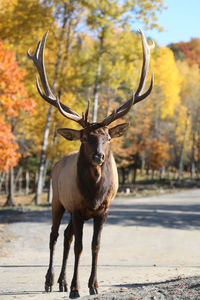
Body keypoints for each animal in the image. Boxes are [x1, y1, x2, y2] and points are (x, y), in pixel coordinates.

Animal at [27, 29, 154, 298]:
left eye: (108, 138)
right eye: (85, 137)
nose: (99, 156)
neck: (94, 193)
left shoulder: (103, 211)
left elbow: (95, 245)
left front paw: (93, 285)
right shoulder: (76, 207)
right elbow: (80, 247)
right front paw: (76, 288)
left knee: (66, 236)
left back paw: (62, 282)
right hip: (57, 200)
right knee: (55, 235)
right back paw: (50, 281)